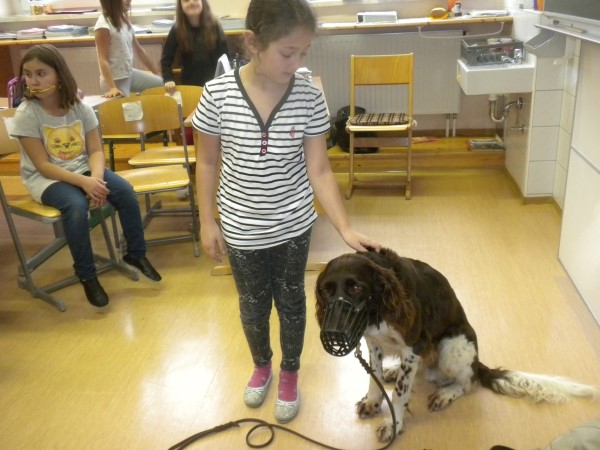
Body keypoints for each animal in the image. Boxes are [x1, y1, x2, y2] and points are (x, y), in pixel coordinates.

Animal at [315, 248, 599, 443]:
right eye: (327, 291)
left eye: (356, 288)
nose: (334, 333)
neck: (379, 310)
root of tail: (478, 361)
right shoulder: (373, 342)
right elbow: (373, 378)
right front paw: (373, 402)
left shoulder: (413, 346)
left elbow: (400, 394)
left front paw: (394, 424)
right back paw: (393, 372)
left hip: (451, 346)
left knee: (467, 381)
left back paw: (445, 393)